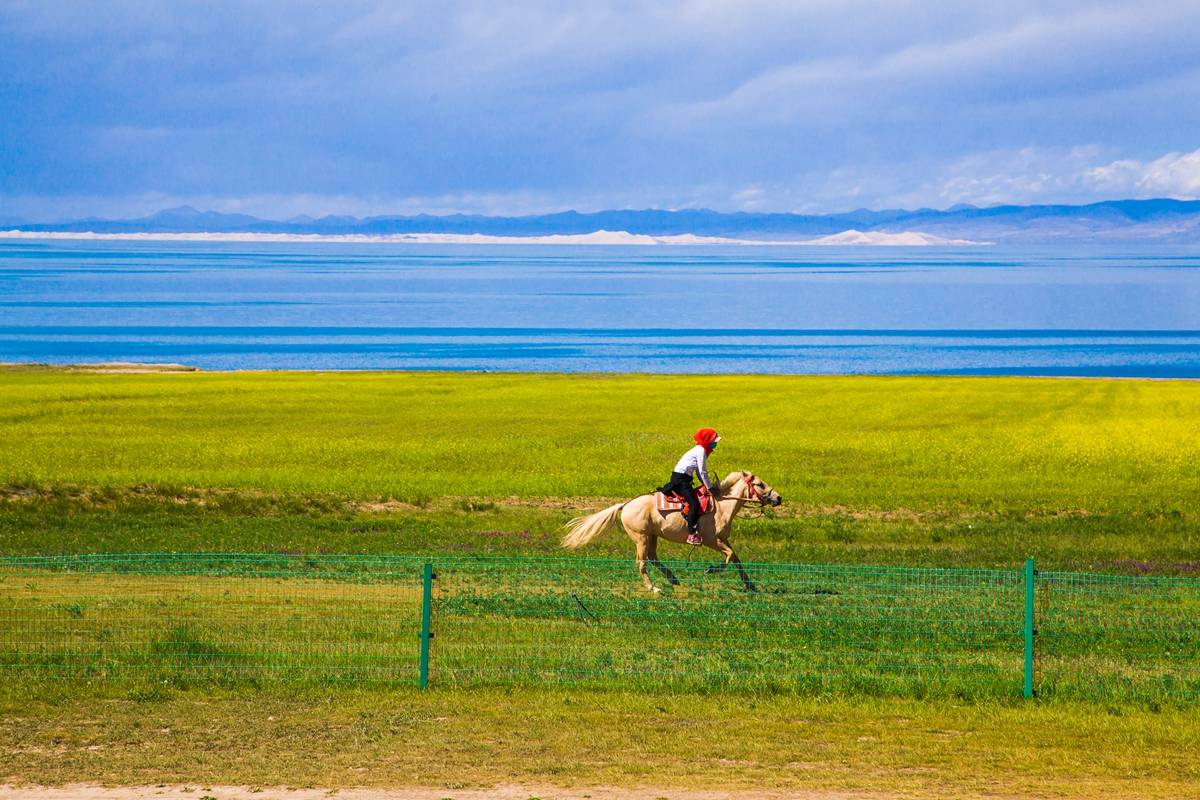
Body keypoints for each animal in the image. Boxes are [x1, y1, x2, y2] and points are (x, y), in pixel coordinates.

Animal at [559, 470, 782, 594]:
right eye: (760, 484)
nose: (778, 498)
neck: (722, 506)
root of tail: (626, 505)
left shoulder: (723, 540)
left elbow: (736, 559)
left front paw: (751, 586)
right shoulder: (712, 540)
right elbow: (728, 558)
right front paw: (710, 569)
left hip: (652, 537)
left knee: (652, 557)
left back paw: (672, 579)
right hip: (641, 537)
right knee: (642, 562)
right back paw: (654, 588)